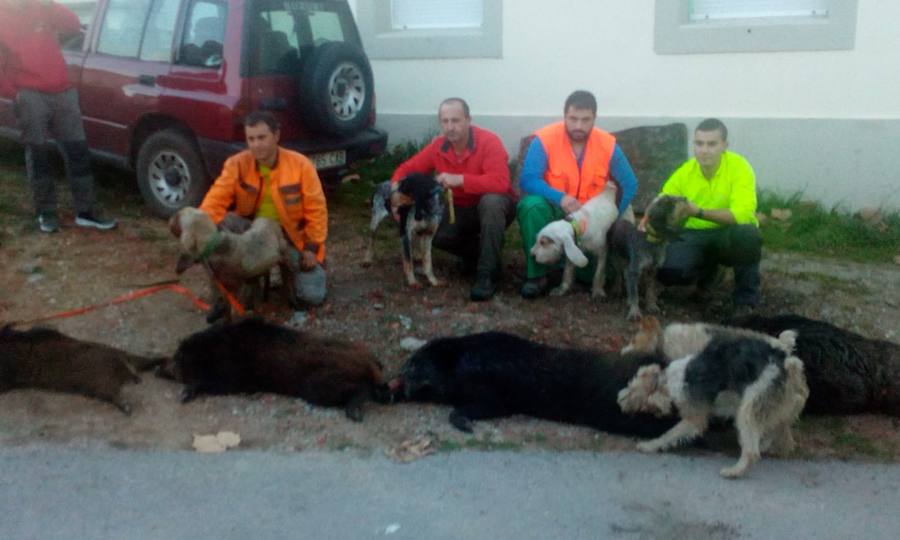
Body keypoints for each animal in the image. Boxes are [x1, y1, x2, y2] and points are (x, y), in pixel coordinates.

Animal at [156, 316, 388, 422]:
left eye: (179, 356)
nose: (160, 369)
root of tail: (368, 362)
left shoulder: (234, 378)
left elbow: (206, 383)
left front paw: (186, 393)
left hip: (318, 384)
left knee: (359, 389)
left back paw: (354, 412)